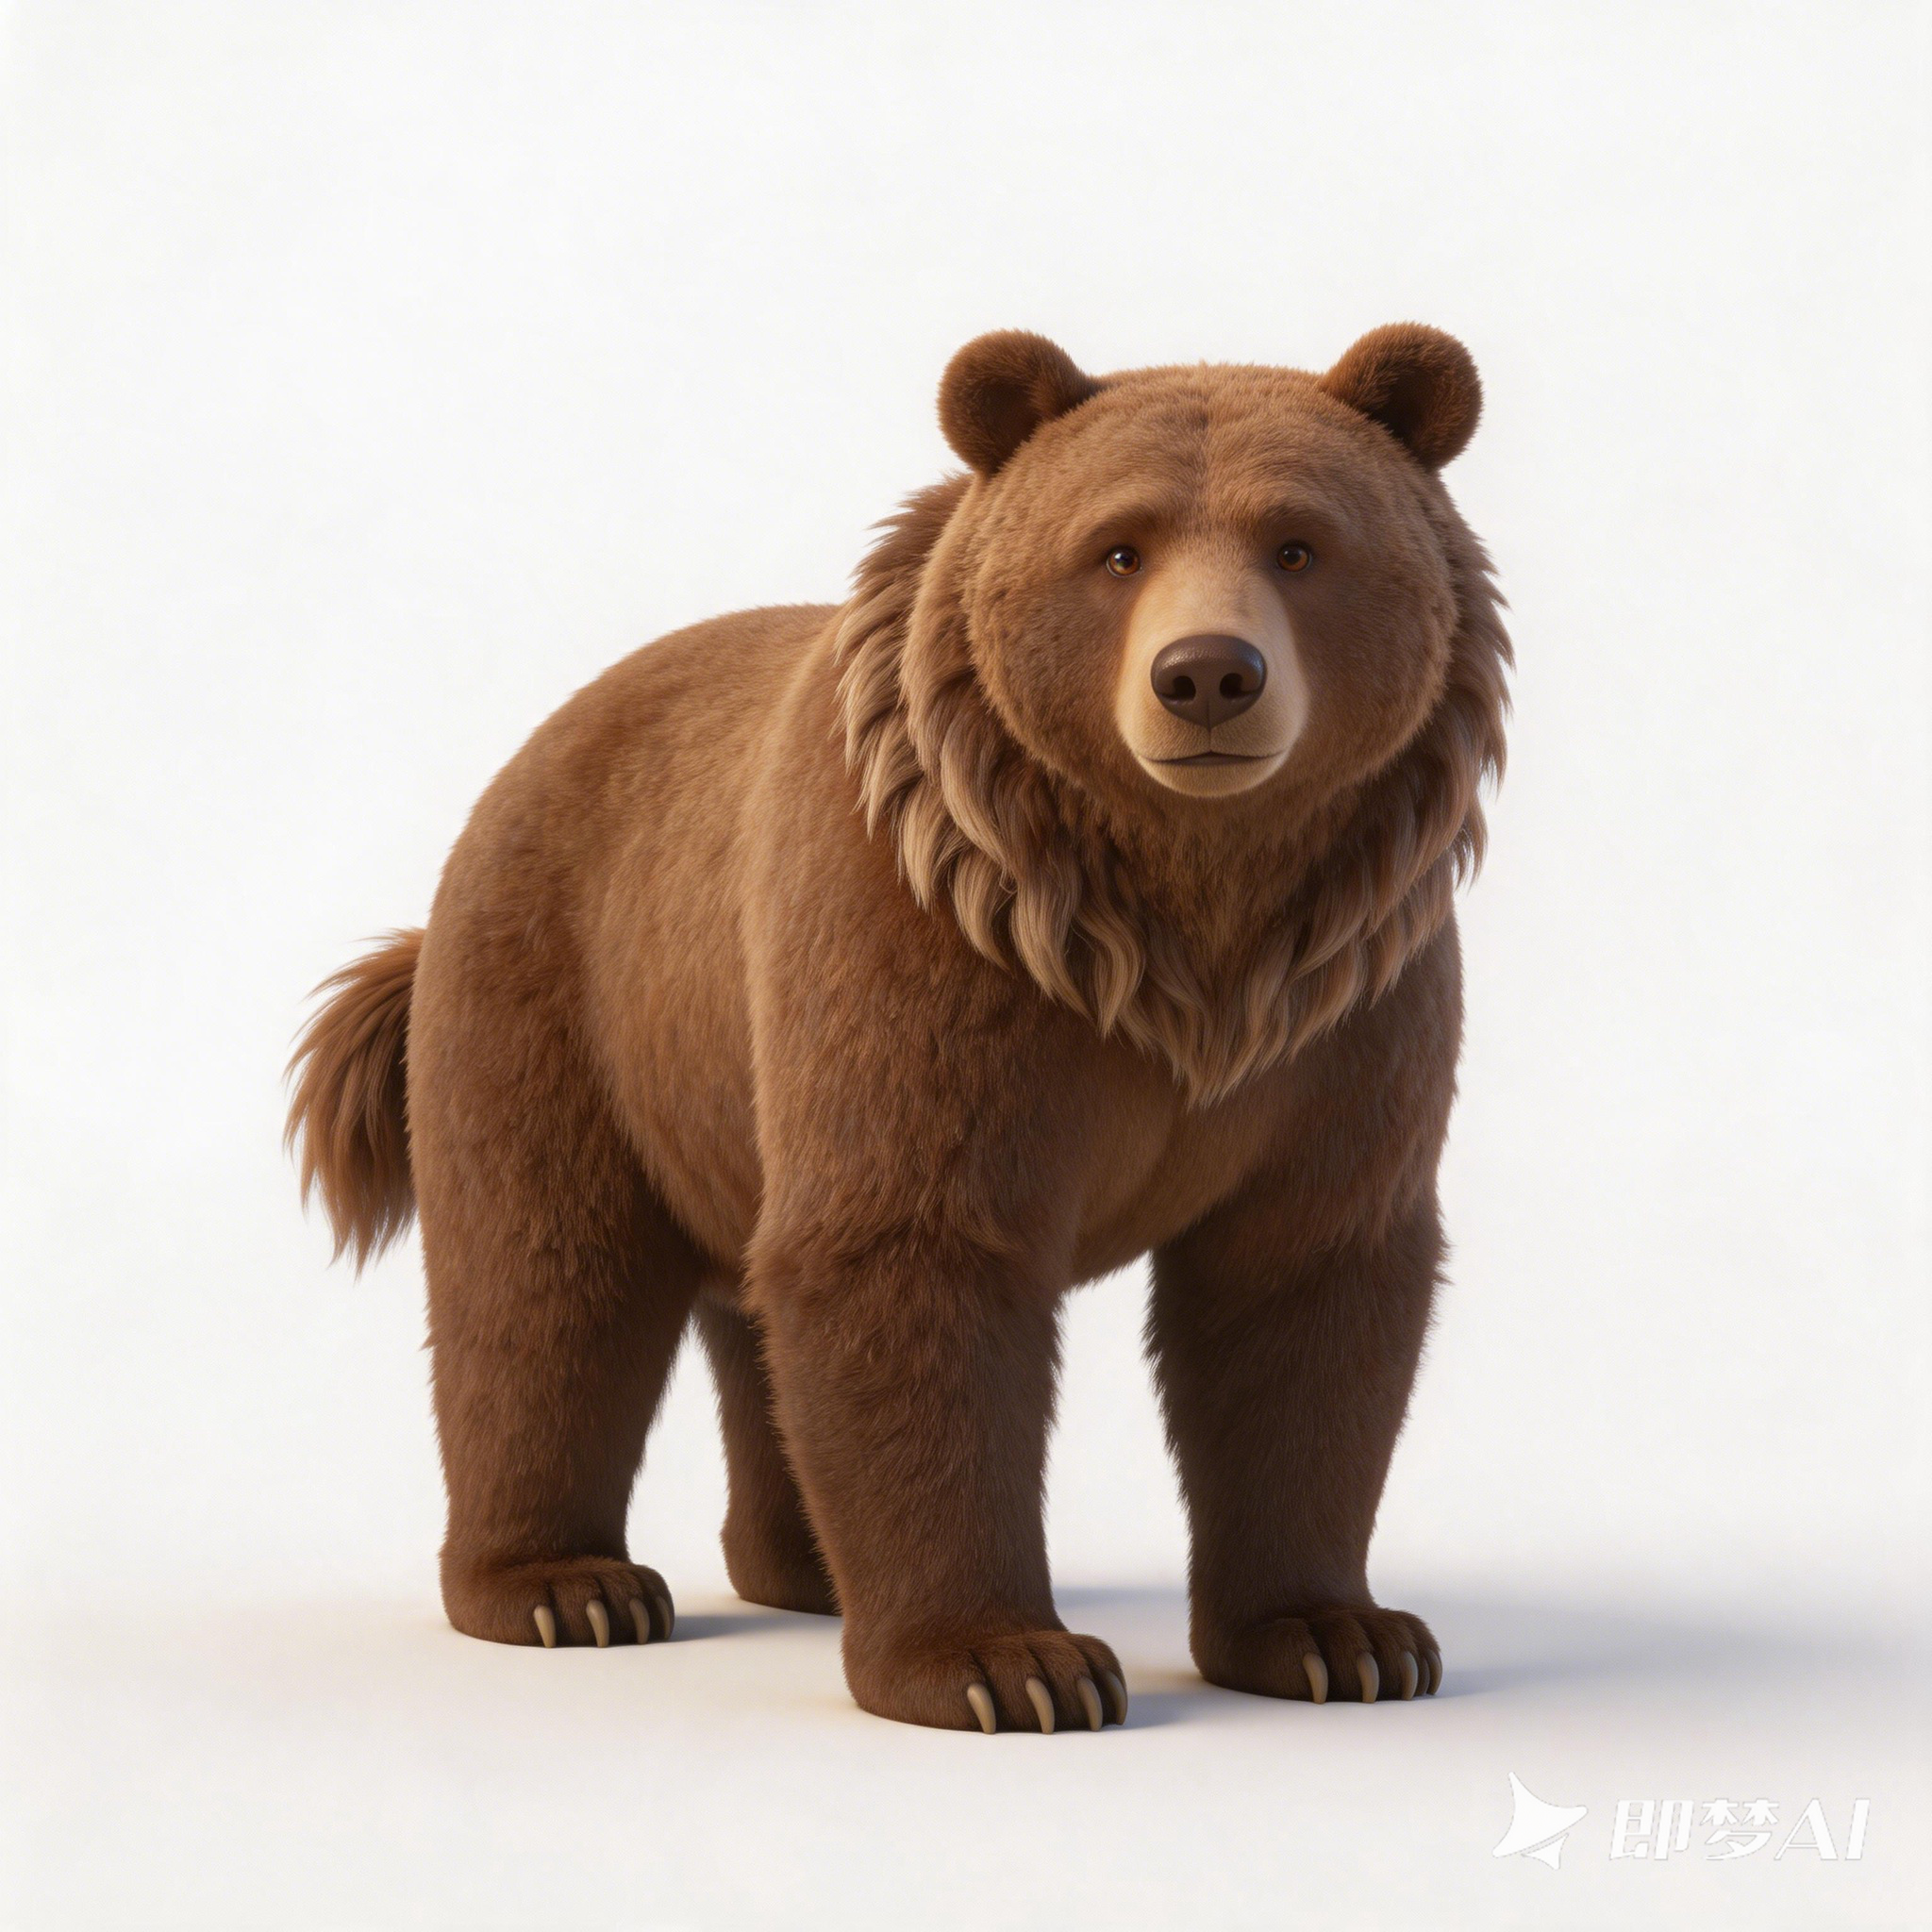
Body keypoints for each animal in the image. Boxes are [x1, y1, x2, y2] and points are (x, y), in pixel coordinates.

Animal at [287, 325, 1510, 1732]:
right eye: (1117, 547)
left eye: (1300, 543)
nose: (1207, 674)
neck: (1181, 933)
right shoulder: (923, 953)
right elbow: (912, 1254)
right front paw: (1006, 1663)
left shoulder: (1348, 1008)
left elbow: (1305, 1285)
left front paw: (1339, 1636)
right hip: (564, 989)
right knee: (547, 1279)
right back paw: (563, 1586)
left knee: (750, 1306)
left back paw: (804, 1564)